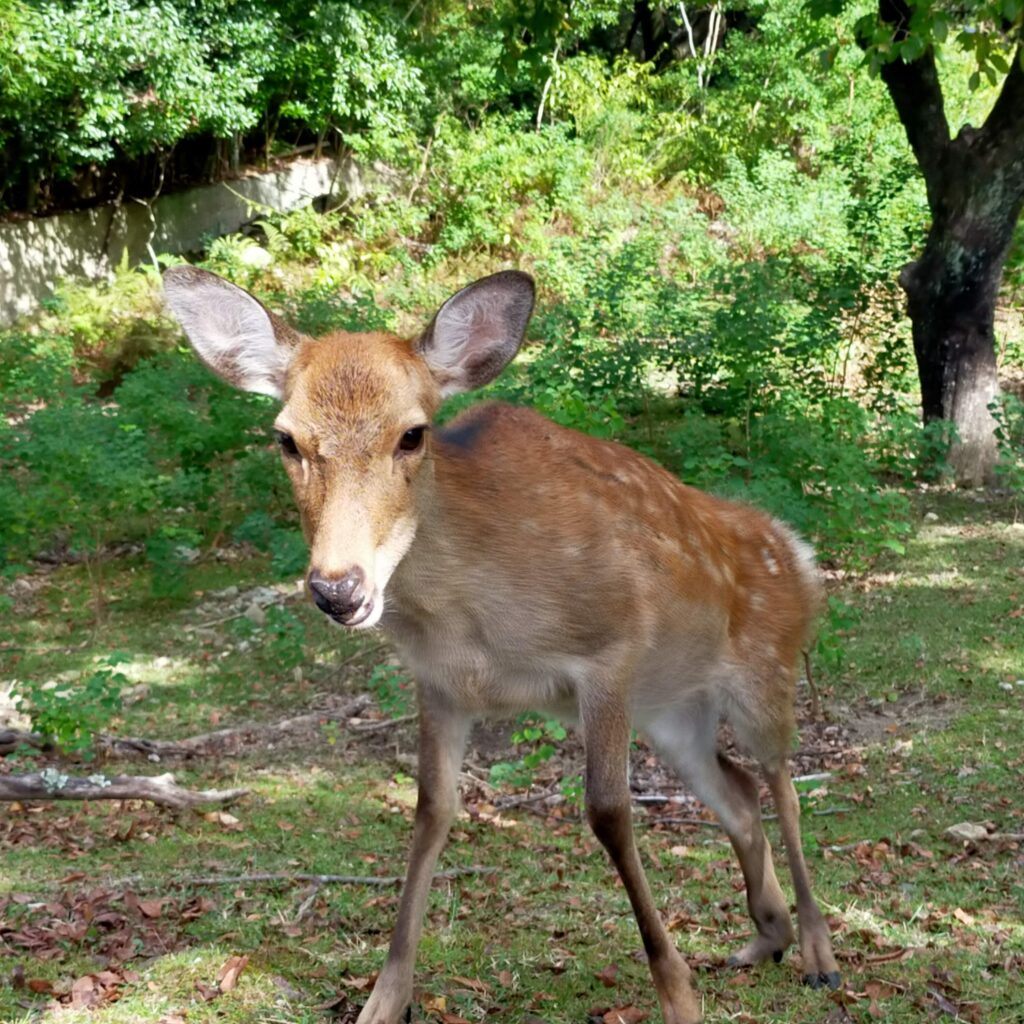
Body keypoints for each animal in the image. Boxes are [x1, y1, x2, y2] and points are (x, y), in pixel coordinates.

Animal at [163, 266, 839, 1024]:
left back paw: (818, 953)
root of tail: (801, 555)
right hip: (674, 712)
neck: (474, 619)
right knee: (739, 791)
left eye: (413, 434)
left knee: (783, 783)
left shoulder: (609, 653)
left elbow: (609, 812)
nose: (339, 589)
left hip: (766, 673)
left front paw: (678, 994)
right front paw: (383, 999)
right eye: (286, 439)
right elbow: (431, 811)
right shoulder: (439, 684)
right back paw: (765, 937)